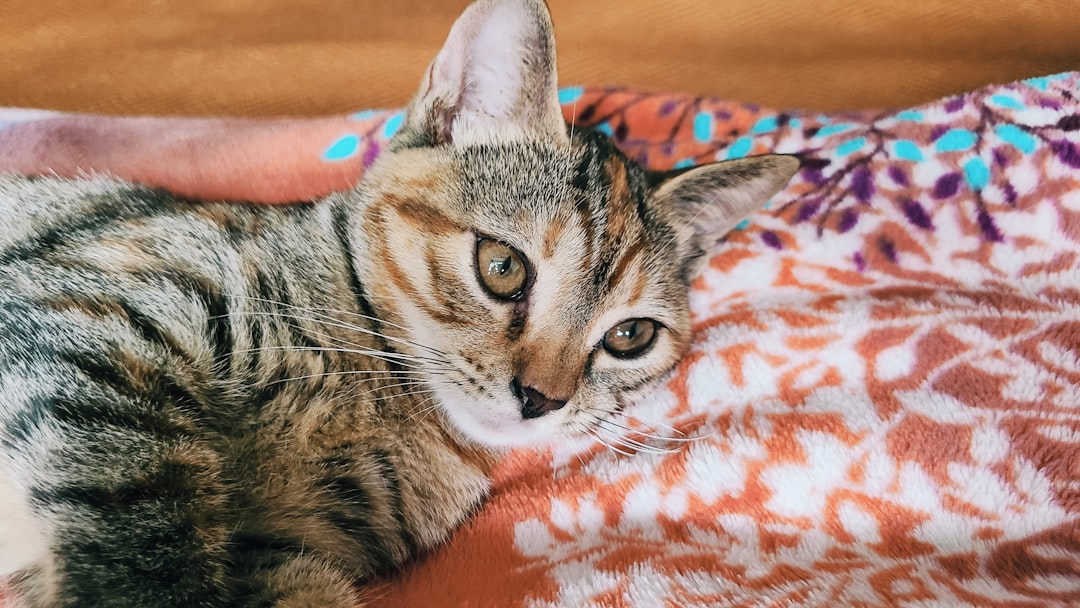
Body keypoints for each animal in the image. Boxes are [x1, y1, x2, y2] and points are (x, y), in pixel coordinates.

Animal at [0, 0, 794, 604]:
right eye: (502, 267)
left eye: (631, 337)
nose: (541, 398)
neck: (383, 397)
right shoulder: (96, 309)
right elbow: (141, 527)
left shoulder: (285, 553)